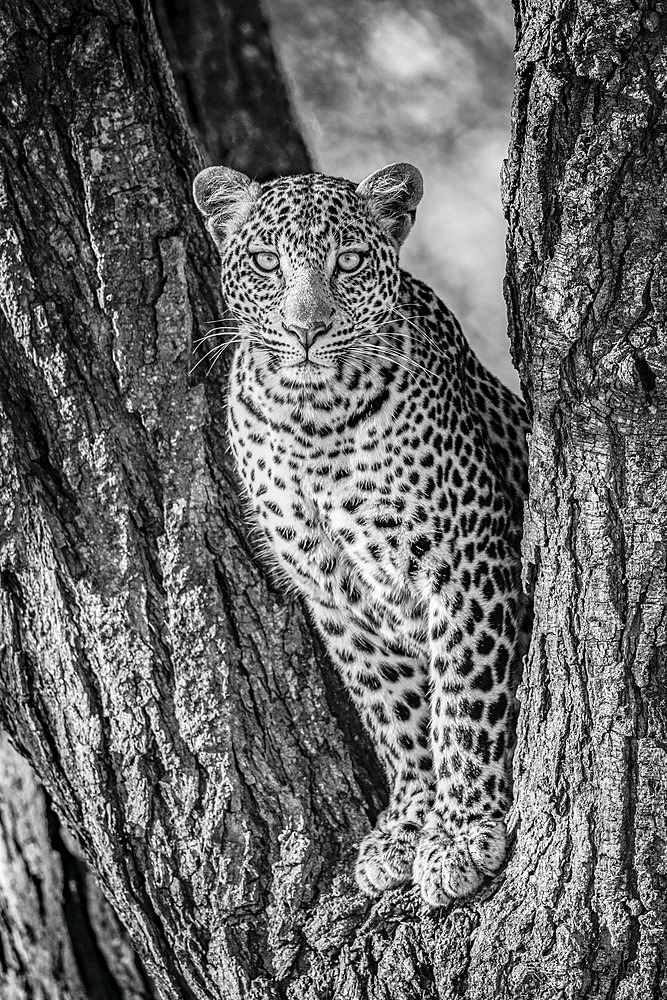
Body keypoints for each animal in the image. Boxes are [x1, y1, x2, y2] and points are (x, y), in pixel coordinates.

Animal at [194, 162, 532, 908]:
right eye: (267, 262)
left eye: (346, 262)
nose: (306, 330)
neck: (312, 416)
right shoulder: (334, 591)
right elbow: (394, 712)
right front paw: (407, 826)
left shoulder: (463, 560)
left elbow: (461, 703)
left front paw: (459, 832)